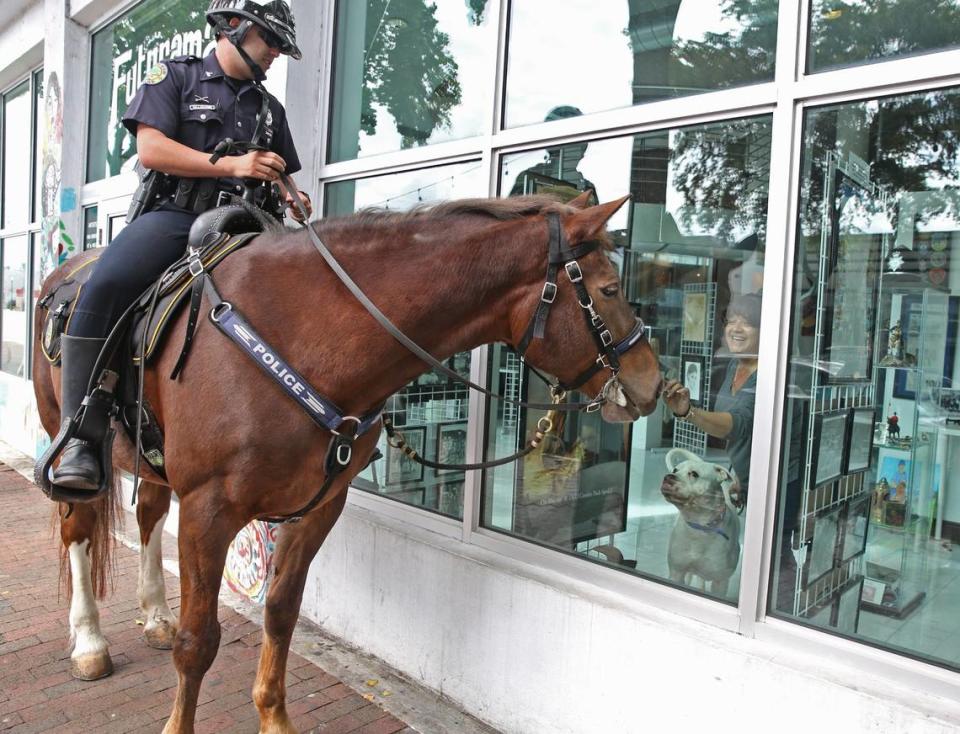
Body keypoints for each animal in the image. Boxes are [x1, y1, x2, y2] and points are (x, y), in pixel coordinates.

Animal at [31, 193, 660, 732]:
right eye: (607, 288)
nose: (654, 384)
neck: (301, 336)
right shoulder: (210, 509)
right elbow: (199, 641)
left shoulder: (320, 507)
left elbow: (281, 611)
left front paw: (275, 718)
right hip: (68, 441)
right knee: (78, 530)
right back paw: (89, 643)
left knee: (148, 516)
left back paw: (154, 616)